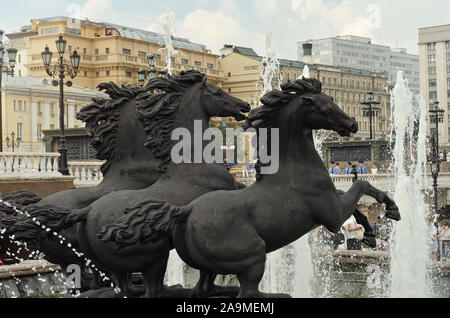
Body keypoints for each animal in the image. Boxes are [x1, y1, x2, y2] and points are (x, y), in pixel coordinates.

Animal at [103, 77, 400, 298]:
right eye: (326, 108)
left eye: (334, 101)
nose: (352, 124)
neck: (292, 169)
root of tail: (184, 212)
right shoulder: (332, 215)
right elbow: (360, 184)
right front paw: (390, 212)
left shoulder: (334, 203)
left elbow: (358, 200)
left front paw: (374, 229)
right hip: (254, 255)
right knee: (247, 292)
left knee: (201, 289)